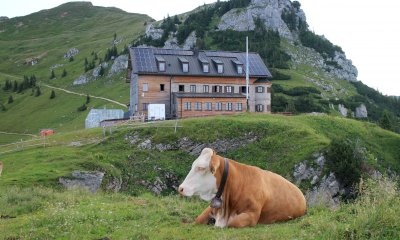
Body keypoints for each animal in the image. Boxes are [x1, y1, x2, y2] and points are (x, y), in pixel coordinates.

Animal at [178, 147, 306, 228]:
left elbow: (232, 223)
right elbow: (198, 219)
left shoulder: (252, 215)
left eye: (201, 168)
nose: (180, 188)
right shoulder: (212, 208)